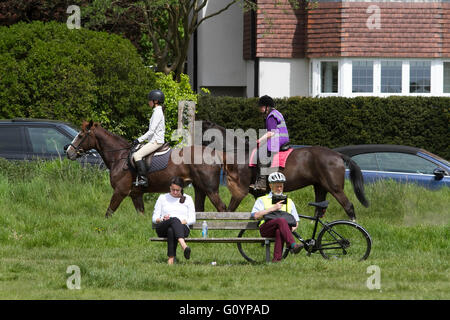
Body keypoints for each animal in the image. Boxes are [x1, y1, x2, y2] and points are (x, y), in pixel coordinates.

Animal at [66, 120, 229, 218]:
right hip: (199, 188)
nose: (68, 152)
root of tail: (215, 154)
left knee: (222, 208)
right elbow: (141, 213)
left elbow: (108, 213)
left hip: (210, 190)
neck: (119, 156)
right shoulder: (136, 195)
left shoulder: (120, 191)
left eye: (80, 135)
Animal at [201, 120, 370, 220]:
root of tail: (337, 155)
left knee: (348, 206)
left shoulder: (240, 191)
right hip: (320, 187)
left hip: (334, 187)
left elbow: (229, 210)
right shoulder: (258, 194)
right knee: (319, 209)